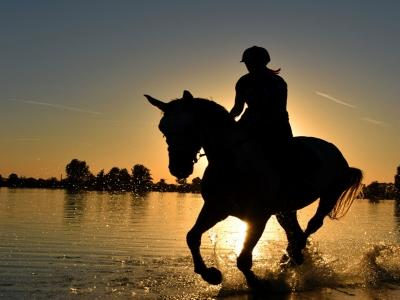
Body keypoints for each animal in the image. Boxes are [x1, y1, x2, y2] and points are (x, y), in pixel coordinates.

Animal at [145, 90, 364, 288]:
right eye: (162, 128)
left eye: (189, 127)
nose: (178, 169)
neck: (233, 163)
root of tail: (333, 150)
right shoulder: (216, 209)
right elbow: (192, 237)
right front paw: (211, 275)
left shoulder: (258, 216)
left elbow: (243, 259)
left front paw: (257, 282)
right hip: (285, 210)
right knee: (294, 232)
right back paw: (290, 259)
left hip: (329, 196)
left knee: (312, 225)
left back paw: (293, 256)